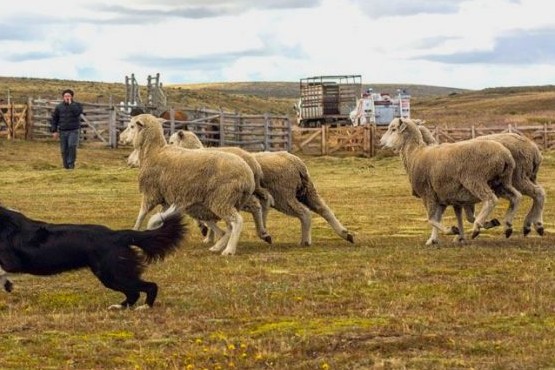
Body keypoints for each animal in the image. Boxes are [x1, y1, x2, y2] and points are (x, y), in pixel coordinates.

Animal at [0, 205, 187, 310]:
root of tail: (116, 235)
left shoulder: (11, 262)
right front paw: (8, 285)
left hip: (112, 273)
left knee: (149, 286)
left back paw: (144, 308)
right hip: (112, 274)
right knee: (133, 292)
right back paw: (119, 307)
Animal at [129, 114, 256, 256]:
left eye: (132, 126)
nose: (124, 139)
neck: (154, 151)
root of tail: (248, 175)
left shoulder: (151, 193)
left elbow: (141, 215)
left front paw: (135, 232)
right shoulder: (166, 198)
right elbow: (159, 218)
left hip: (222, 198)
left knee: (237, 222)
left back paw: (229, 250)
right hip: (229, 201)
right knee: (229, 225)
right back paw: (217, 246)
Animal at [380, 118, 524, 246]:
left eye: (393, 129)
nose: (381, 142)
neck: (415, 153)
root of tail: (505, 156)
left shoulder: (428, 194)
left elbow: (431, 219)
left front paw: (452, 230)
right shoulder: (441, 197)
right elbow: (438, 218)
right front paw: (433, 239)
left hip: (475, 179)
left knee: (491, 199)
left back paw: (477, 227)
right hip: (501, 182)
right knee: (516, 197)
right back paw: (507, 226)